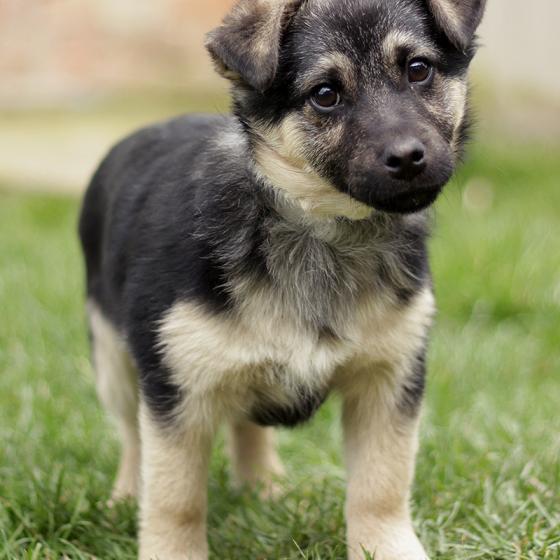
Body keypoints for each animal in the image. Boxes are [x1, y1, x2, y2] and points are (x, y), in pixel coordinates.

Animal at [79, 0, 486, 558]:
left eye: (418, 69)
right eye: (325, 95)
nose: (407, 158)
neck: (315, 225)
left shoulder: (390, 377)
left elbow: (381, 485)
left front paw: (388, 547)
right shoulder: (178, 389)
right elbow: (174, 498)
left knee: (245, 423)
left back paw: (261, 487)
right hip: (113, 358)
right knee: (131, 437)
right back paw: (124, 498)